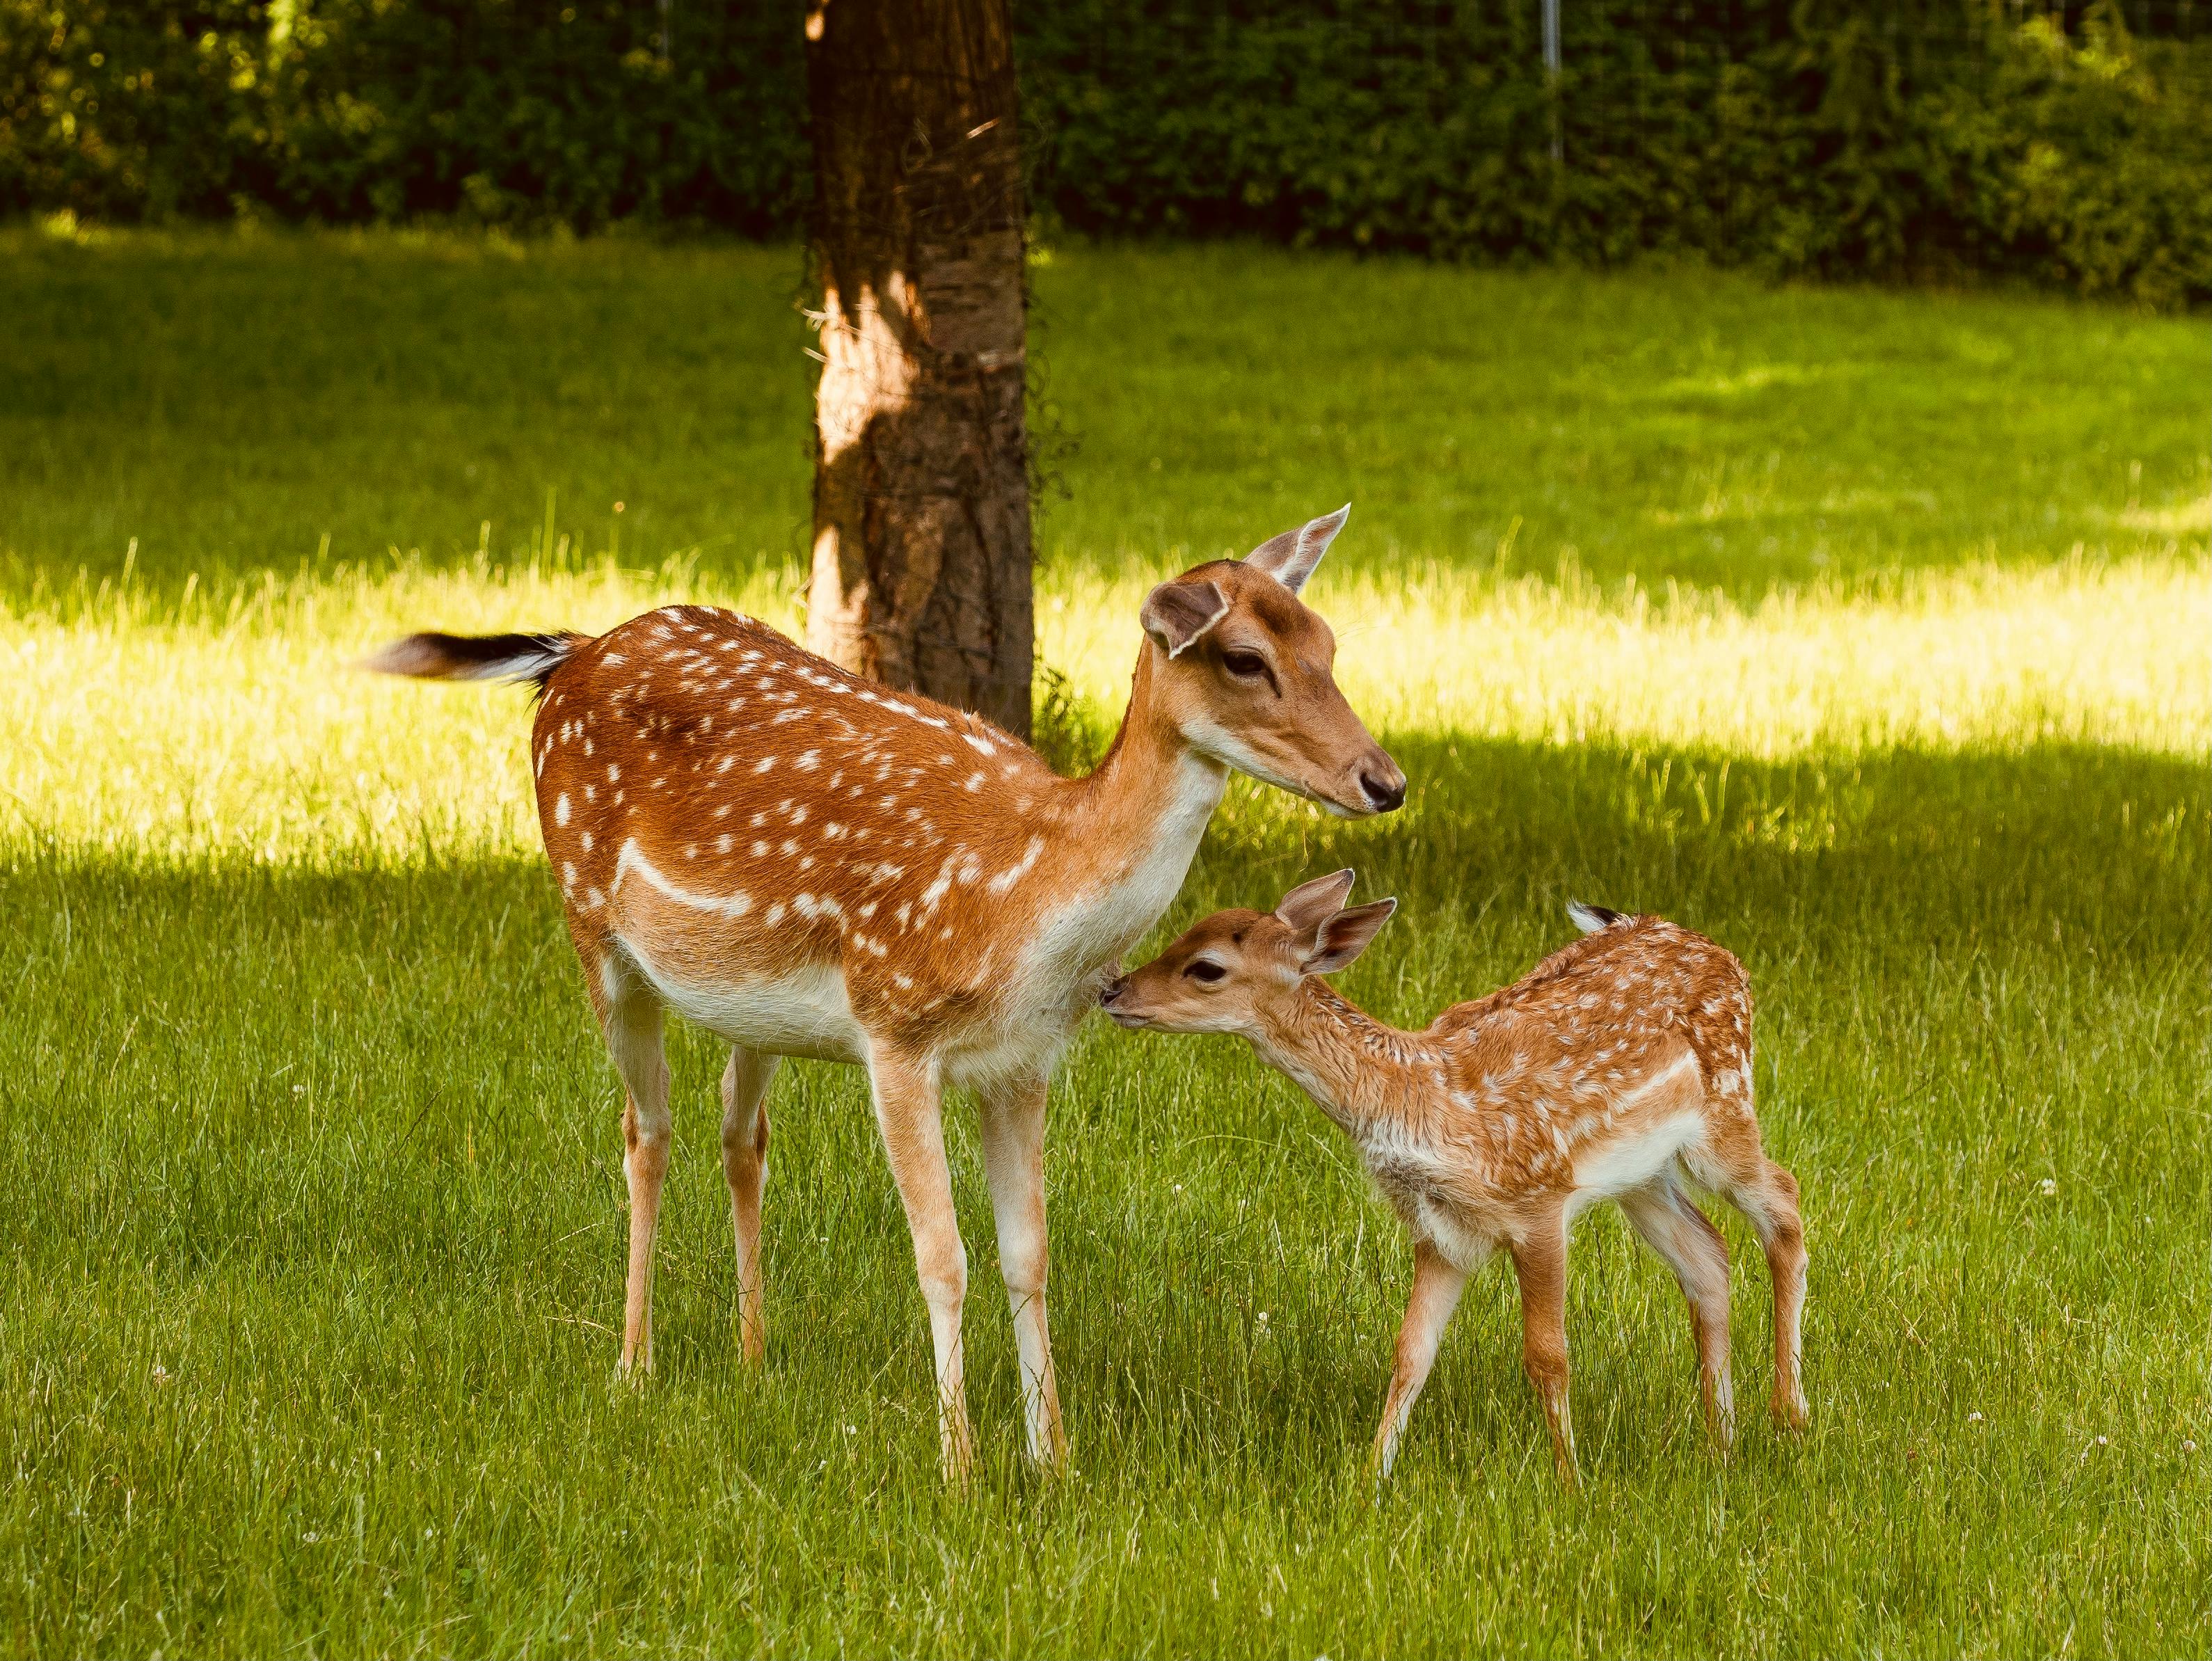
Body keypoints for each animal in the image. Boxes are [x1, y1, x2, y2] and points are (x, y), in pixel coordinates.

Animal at [365, 507, 1404, 1482]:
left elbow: (1028, 1253)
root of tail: (573, 651)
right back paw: (633, 1366)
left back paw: (752, 1357)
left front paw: (1053, 1460)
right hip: (592, 924)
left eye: (1328, 642)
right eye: (1244, 657)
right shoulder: (895, 1025)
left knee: (739, 1132)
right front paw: (960, 1466)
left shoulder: (1025, 1061)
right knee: (643, 1129)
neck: (1025, 895)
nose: (1383, 780)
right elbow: (941, 1256)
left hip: (752, 1001)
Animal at [1099, 873, 1808, 1486]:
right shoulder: (1440, 1231)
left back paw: (1789, 1416)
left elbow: (1547, 1355)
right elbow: (1410, 1352)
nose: (1112, 991)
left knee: (1785, 1200)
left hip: (1723, 1111)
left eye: (1206, 966)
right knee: (1707, 1253)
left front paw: (1570, 1482)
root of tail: (1716, 951)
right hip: (1640, 1173)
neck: (1425, 1103)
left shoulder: (1539, 1199)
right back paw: (1721, 1442)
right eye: (1180, 933)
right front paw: (1370, 1480)